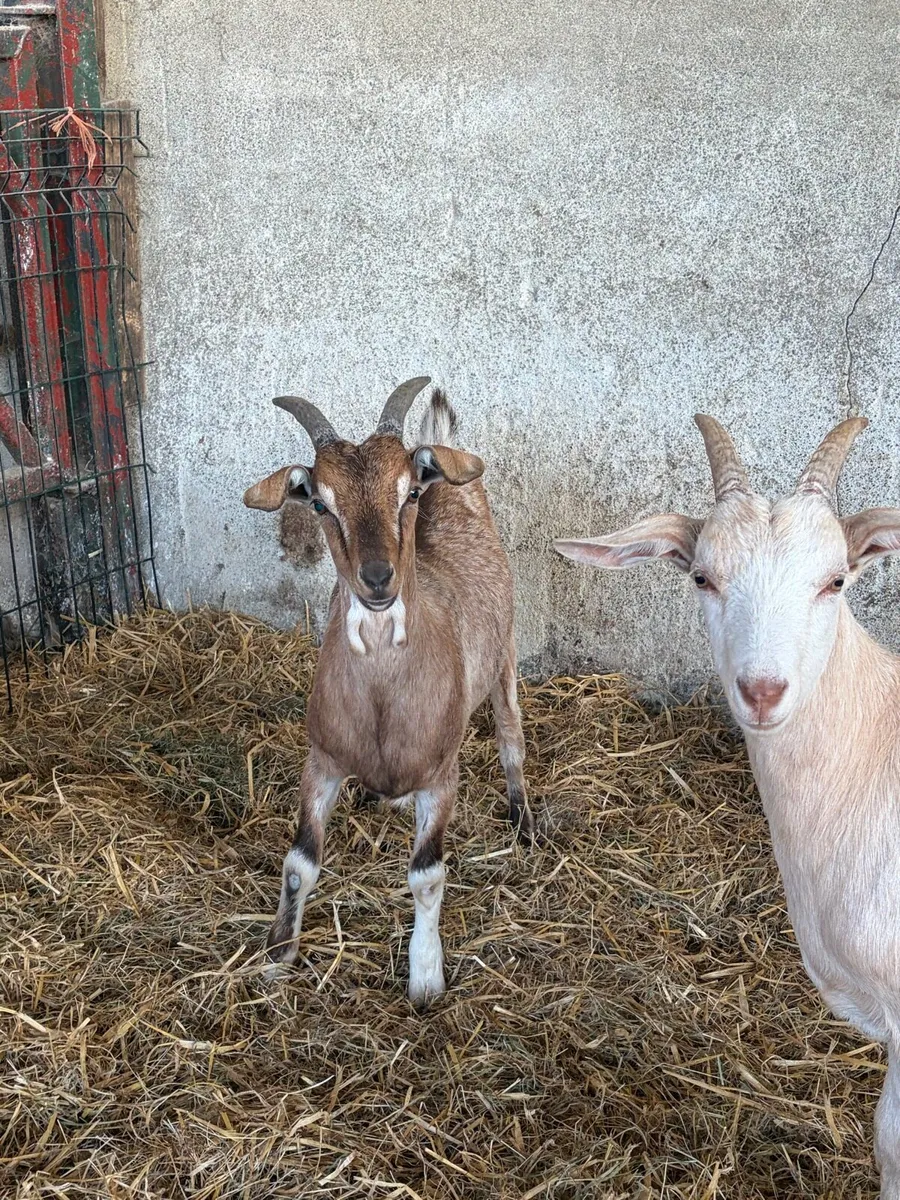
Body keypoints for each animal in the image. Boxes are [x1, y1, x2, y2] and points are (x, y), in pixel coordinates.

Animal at [244, 377, 534, 1005]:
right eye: (320, 503)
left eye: (407, 493)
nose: (378, 579)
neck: (383, 703)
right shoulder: (322, 761)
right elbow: (299, 862)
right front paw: (277, 954)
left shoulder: (442, 776)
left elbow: (426, 876)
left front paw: (425, 975)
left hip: (504, 653)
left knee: (512, 738)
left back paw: (525, 820)